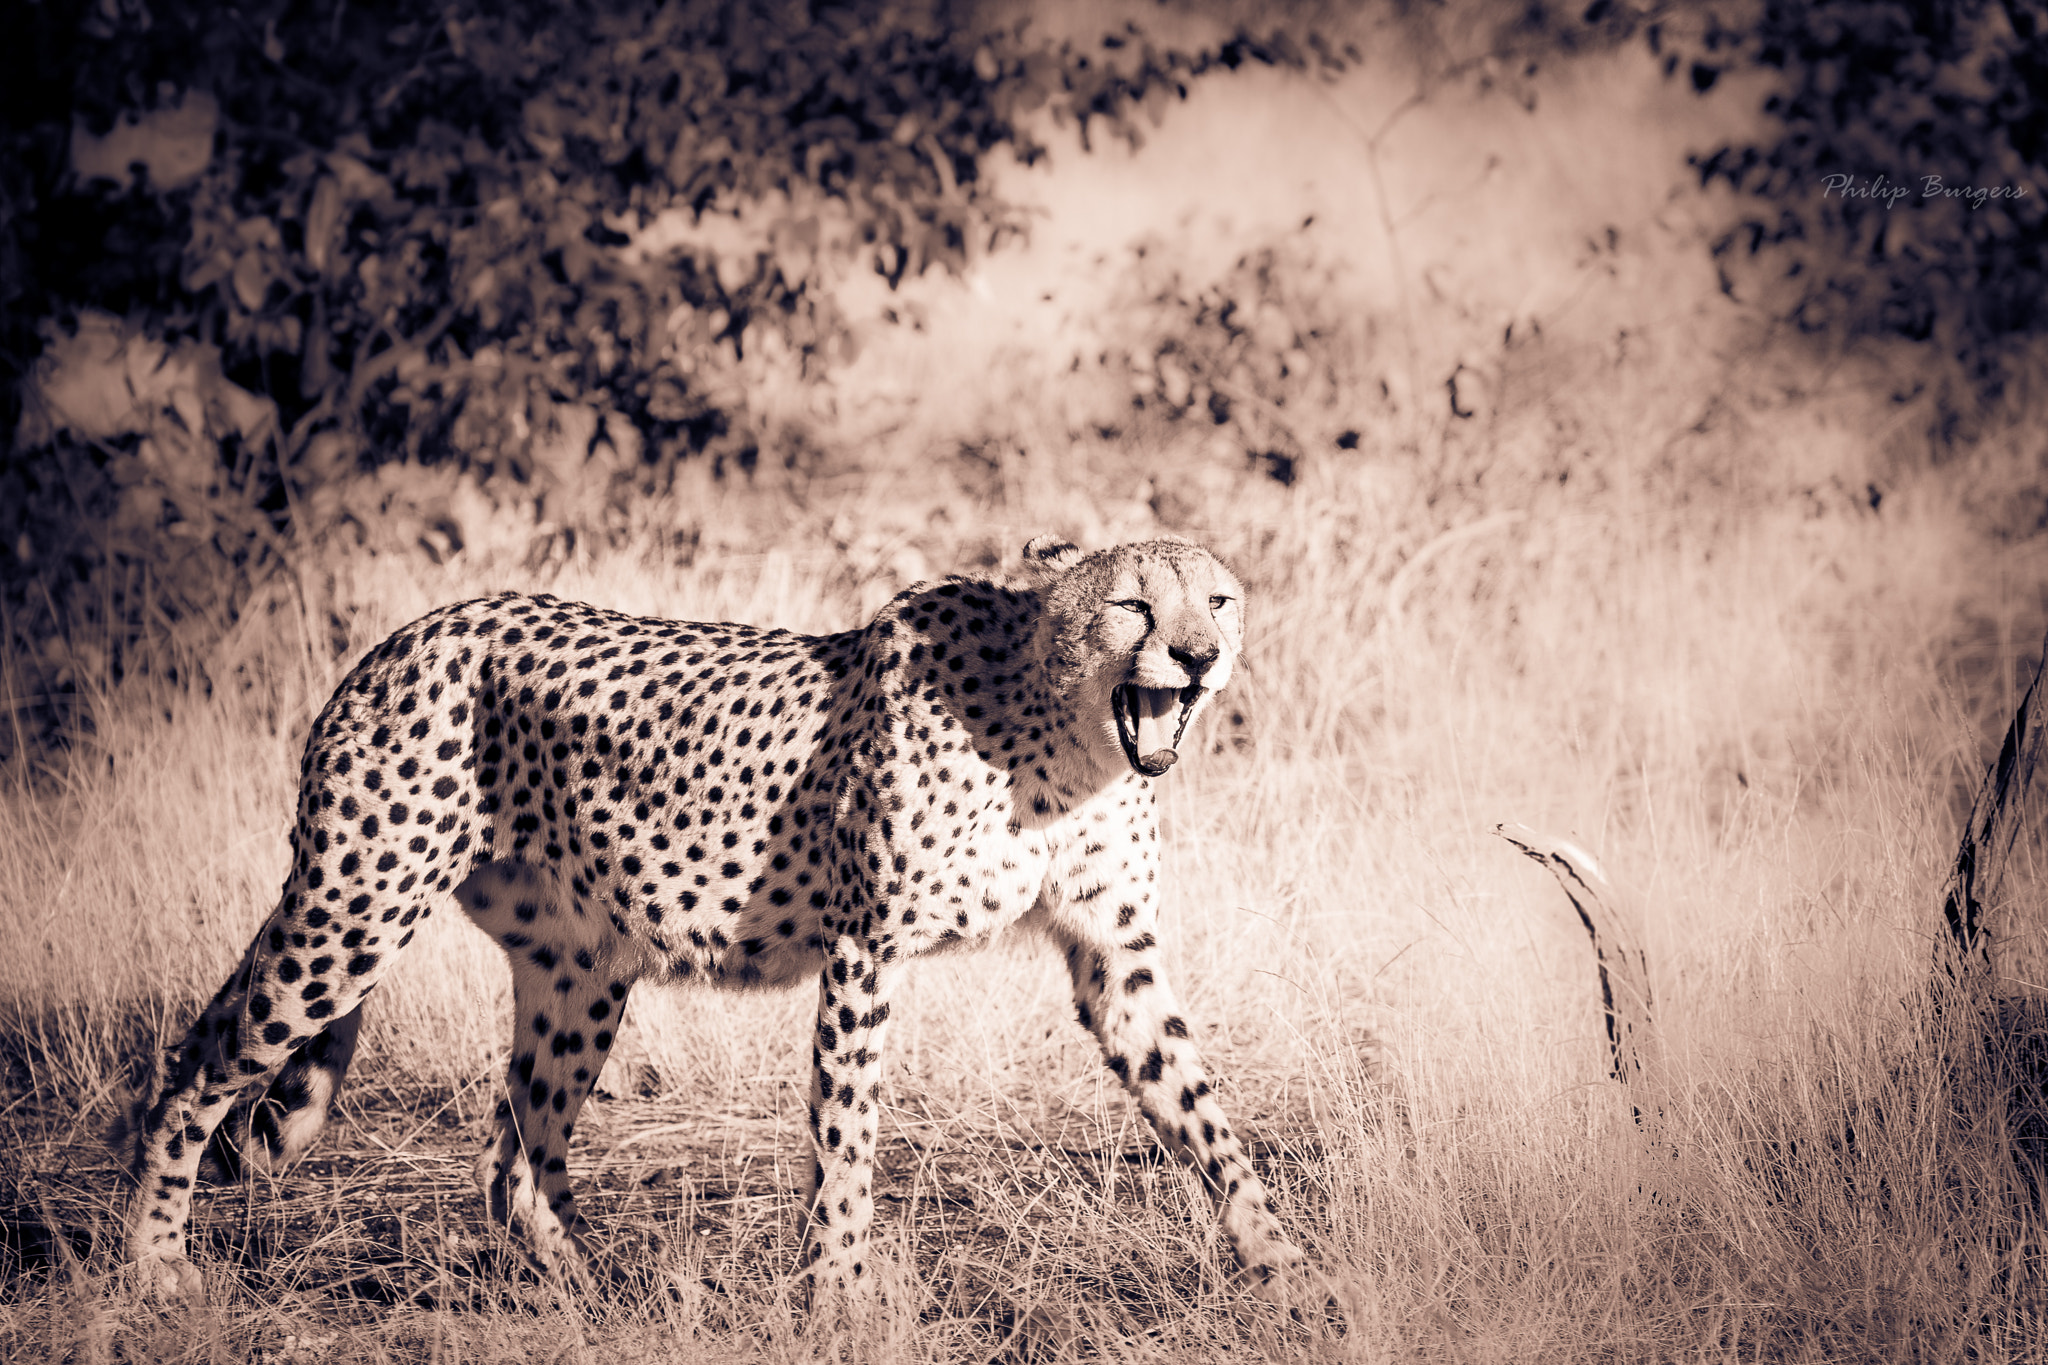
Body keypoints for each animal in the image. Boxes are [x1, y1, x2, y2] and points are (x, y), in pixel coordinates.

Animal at [118, 533, 1304, 1304]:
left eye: (1218, 601)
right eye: (1132, 607)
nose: (1197, 656)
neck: (1066, 745)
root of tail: (402, 635)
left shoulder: (1116, 960)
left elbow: (1200, 1106)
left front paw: (1277, 1257)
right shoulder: (866, 949)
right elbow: (846, 1133)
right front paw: (838, 1290)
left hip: (579, 969)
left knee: (513, 1156)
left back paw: (596, 1289)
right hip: (354, 910)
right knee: (197, 1066)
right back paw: (156, 1263)